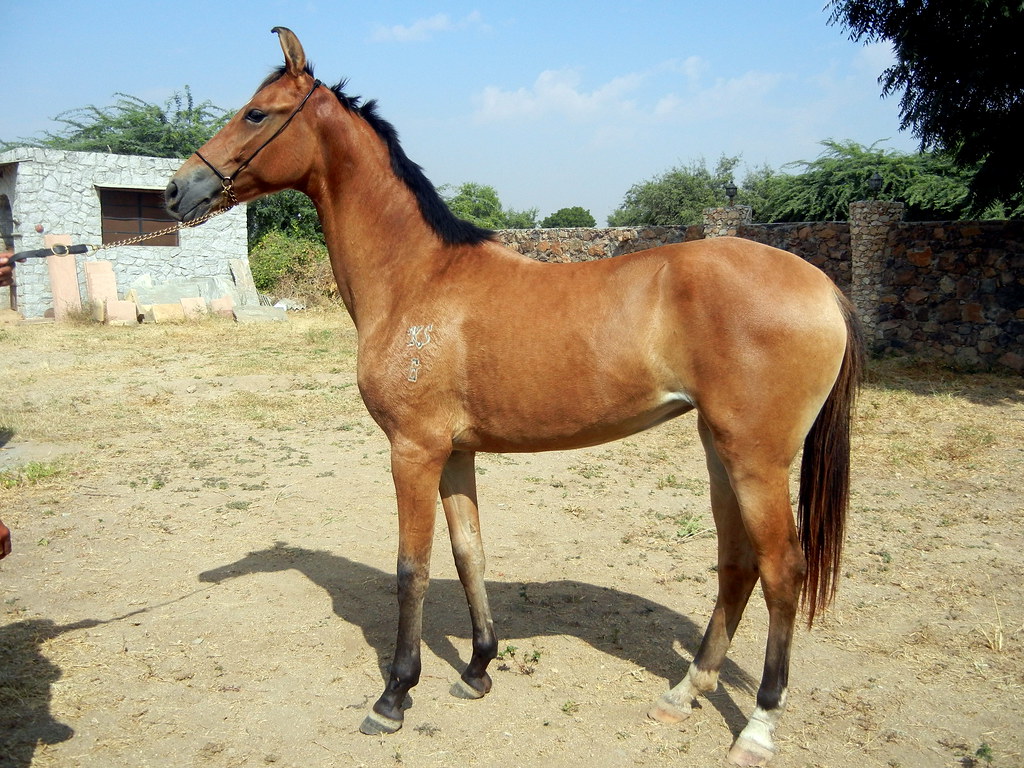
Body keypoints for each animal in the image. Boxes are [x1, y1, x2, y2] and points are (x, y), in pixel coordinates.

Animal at [166, 27, 863, 766]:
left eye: (257, 114)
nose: (175, 191)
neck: (417, 277)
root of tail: (824, 288)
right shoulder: (454, 453)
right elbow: (469, 551)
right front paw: (477, 669)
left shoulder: (412, 450)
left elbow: (412, 567)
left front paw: (394, 695)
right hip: (718, 447)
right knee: (737, 564)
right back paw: (682, 693)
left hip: (756, 456)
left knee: (782, 570)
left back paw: (758, 725)